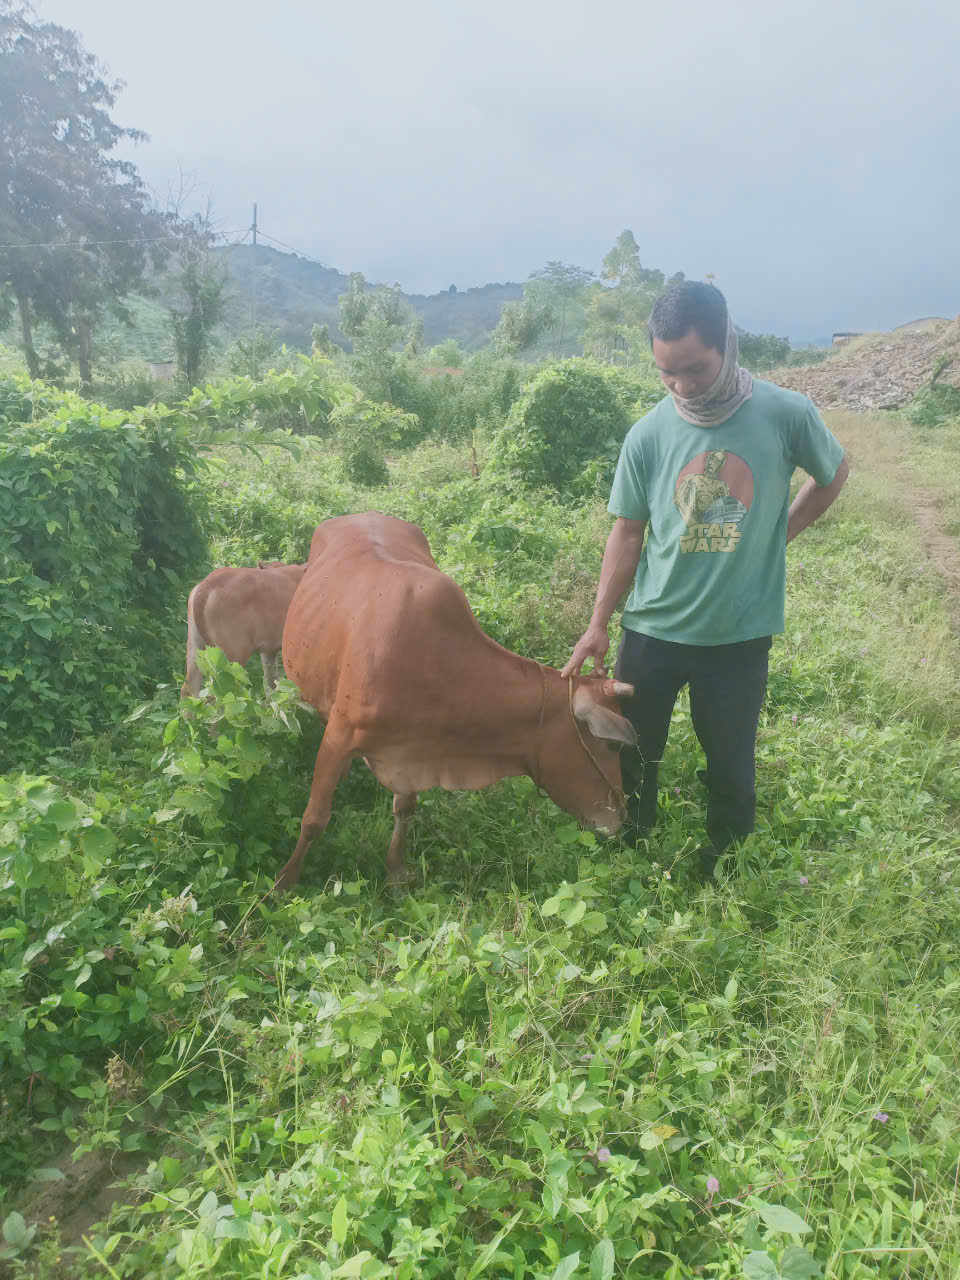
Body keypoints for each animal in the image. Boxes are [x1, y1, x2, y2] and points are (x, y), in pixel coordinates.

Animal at [181, 560, 305, 701]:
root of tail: (204, 587)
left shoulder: (268, 649)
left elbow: (271, 686)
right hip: (232, 654)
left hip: (195, 645)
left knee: (188, 690)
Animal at [276, 509, 640, 890]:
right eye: (612, 746)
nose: (621, 816)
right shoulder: (339, 736)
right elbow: (314, 818)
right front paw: (284, 882)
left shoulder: (412, 753)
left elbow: (404, 809)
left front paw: (396, 873)